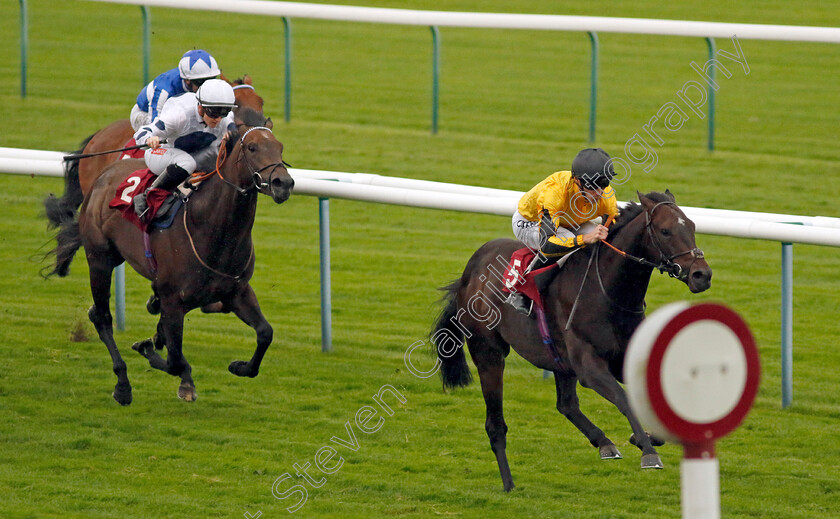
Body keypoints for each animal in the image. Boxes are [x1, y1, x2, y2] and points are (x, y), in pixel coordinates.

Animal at [47, 107, 296, 404]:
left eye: (280, 147)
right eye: (252, 147)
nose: (283, 183)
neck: (212, 229)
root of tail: (104, 174)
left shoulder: (237, 291)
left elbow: (265, 333)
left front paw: (239, 366)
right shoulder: (173, 299)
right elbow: (175, 360)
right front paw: (160, 358)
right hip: (100, 259)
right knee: (102, 316)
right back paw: (122, 384)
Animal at [430, 190, 712, 492]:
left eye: (692, 226)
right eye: (665, 230)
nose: (702, 275)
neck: (609, 293)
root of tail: (468, 273)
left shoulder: (621, 359)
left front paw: (649, 436)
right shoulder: (589, 365)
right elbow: (622, 398)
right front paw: (648, 452)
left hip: (559, 360)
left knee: (566, 404)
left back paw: (605, 443)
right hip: (489, 353)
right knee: (495, 424)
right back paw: (508, 484)